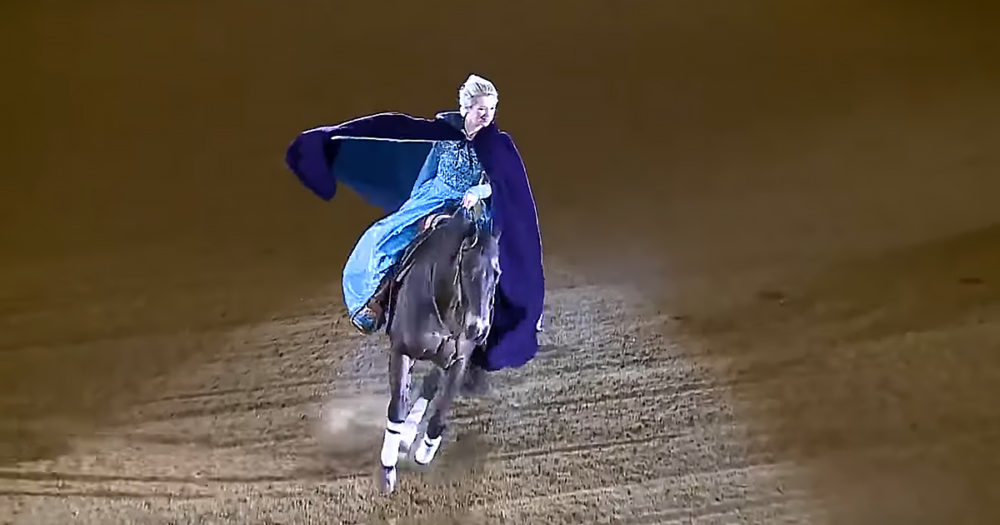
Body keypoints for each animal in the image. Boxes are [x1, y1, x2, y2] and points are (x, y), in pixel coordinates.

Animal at [376, 205, 501, 493]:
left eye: (497, 273)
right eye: (468, 271)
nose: (478, 329)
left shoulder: (458, 360)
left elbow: (440, 413)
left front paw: (424, 452)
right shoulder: (401, 351)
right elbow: (397, 407)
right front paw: (387, 469)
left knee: (430, 385)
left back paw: (408, 437)